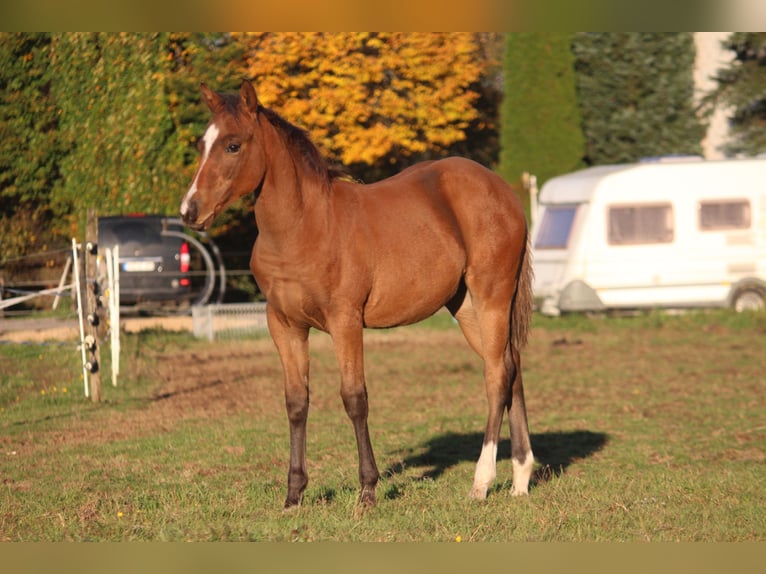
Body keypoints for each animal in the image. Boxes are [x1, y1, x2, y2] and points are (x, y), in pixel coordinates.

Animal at [182, 80, 536, 508]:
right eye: (201, 143)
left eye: (233, 145)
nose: (189, 211)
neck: (303, 227)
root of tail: (503, 191)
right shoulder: (284, 325)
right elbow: (296, 401)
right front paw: (294, 494)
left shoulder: (345, 320)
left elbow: (354, 397)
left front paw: (367, 489)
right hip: (466, 306)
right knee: (511, 365)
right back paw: (520, 479)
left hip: (491, 297)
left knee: (496, 376)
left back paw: (482, 482)